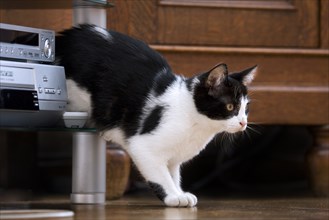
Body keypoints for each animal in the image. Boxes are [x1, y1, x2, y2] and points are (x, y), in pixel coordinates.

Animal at [55, 24, 256, 207]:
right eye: (230, 106)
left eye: (245, 108)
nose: (243, 123)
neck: (194, 120)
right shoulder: (142, 145)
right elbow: (160, 175)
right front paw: (173, 196)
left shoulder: (174, 159)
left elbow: (173, 174)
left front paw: (180, 191)